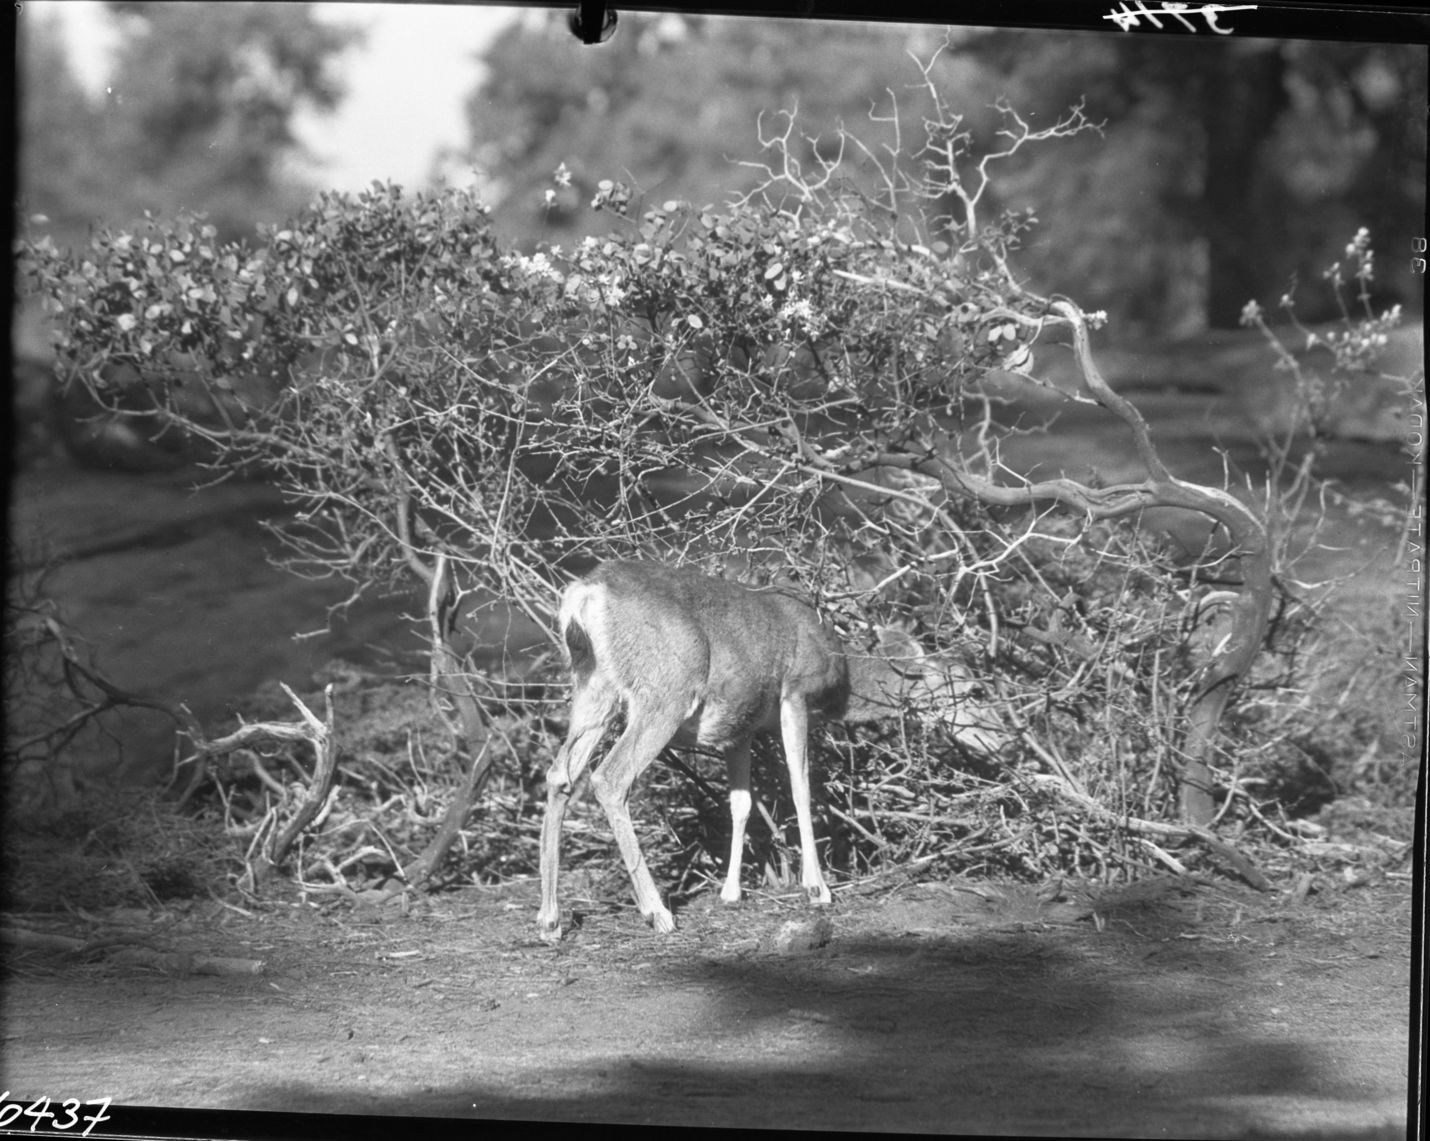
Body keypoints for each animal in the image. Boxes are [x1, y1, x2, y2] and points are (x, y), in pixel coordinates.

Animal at [536, 559, 1007, 939]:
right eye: (973, 689)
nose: (1002, 739)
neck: (841, 679)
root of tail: (586, 593)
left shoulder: (740, 728)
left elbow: (741, 803)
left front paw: (731, 892)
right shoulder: (795, 692)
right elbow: (801, 789)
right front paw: (817, 888)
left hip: (594, 686)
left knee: (560, 773)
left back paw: (550, 919)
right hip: (666, 688)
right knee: (610, 776)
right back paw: (657, 914)